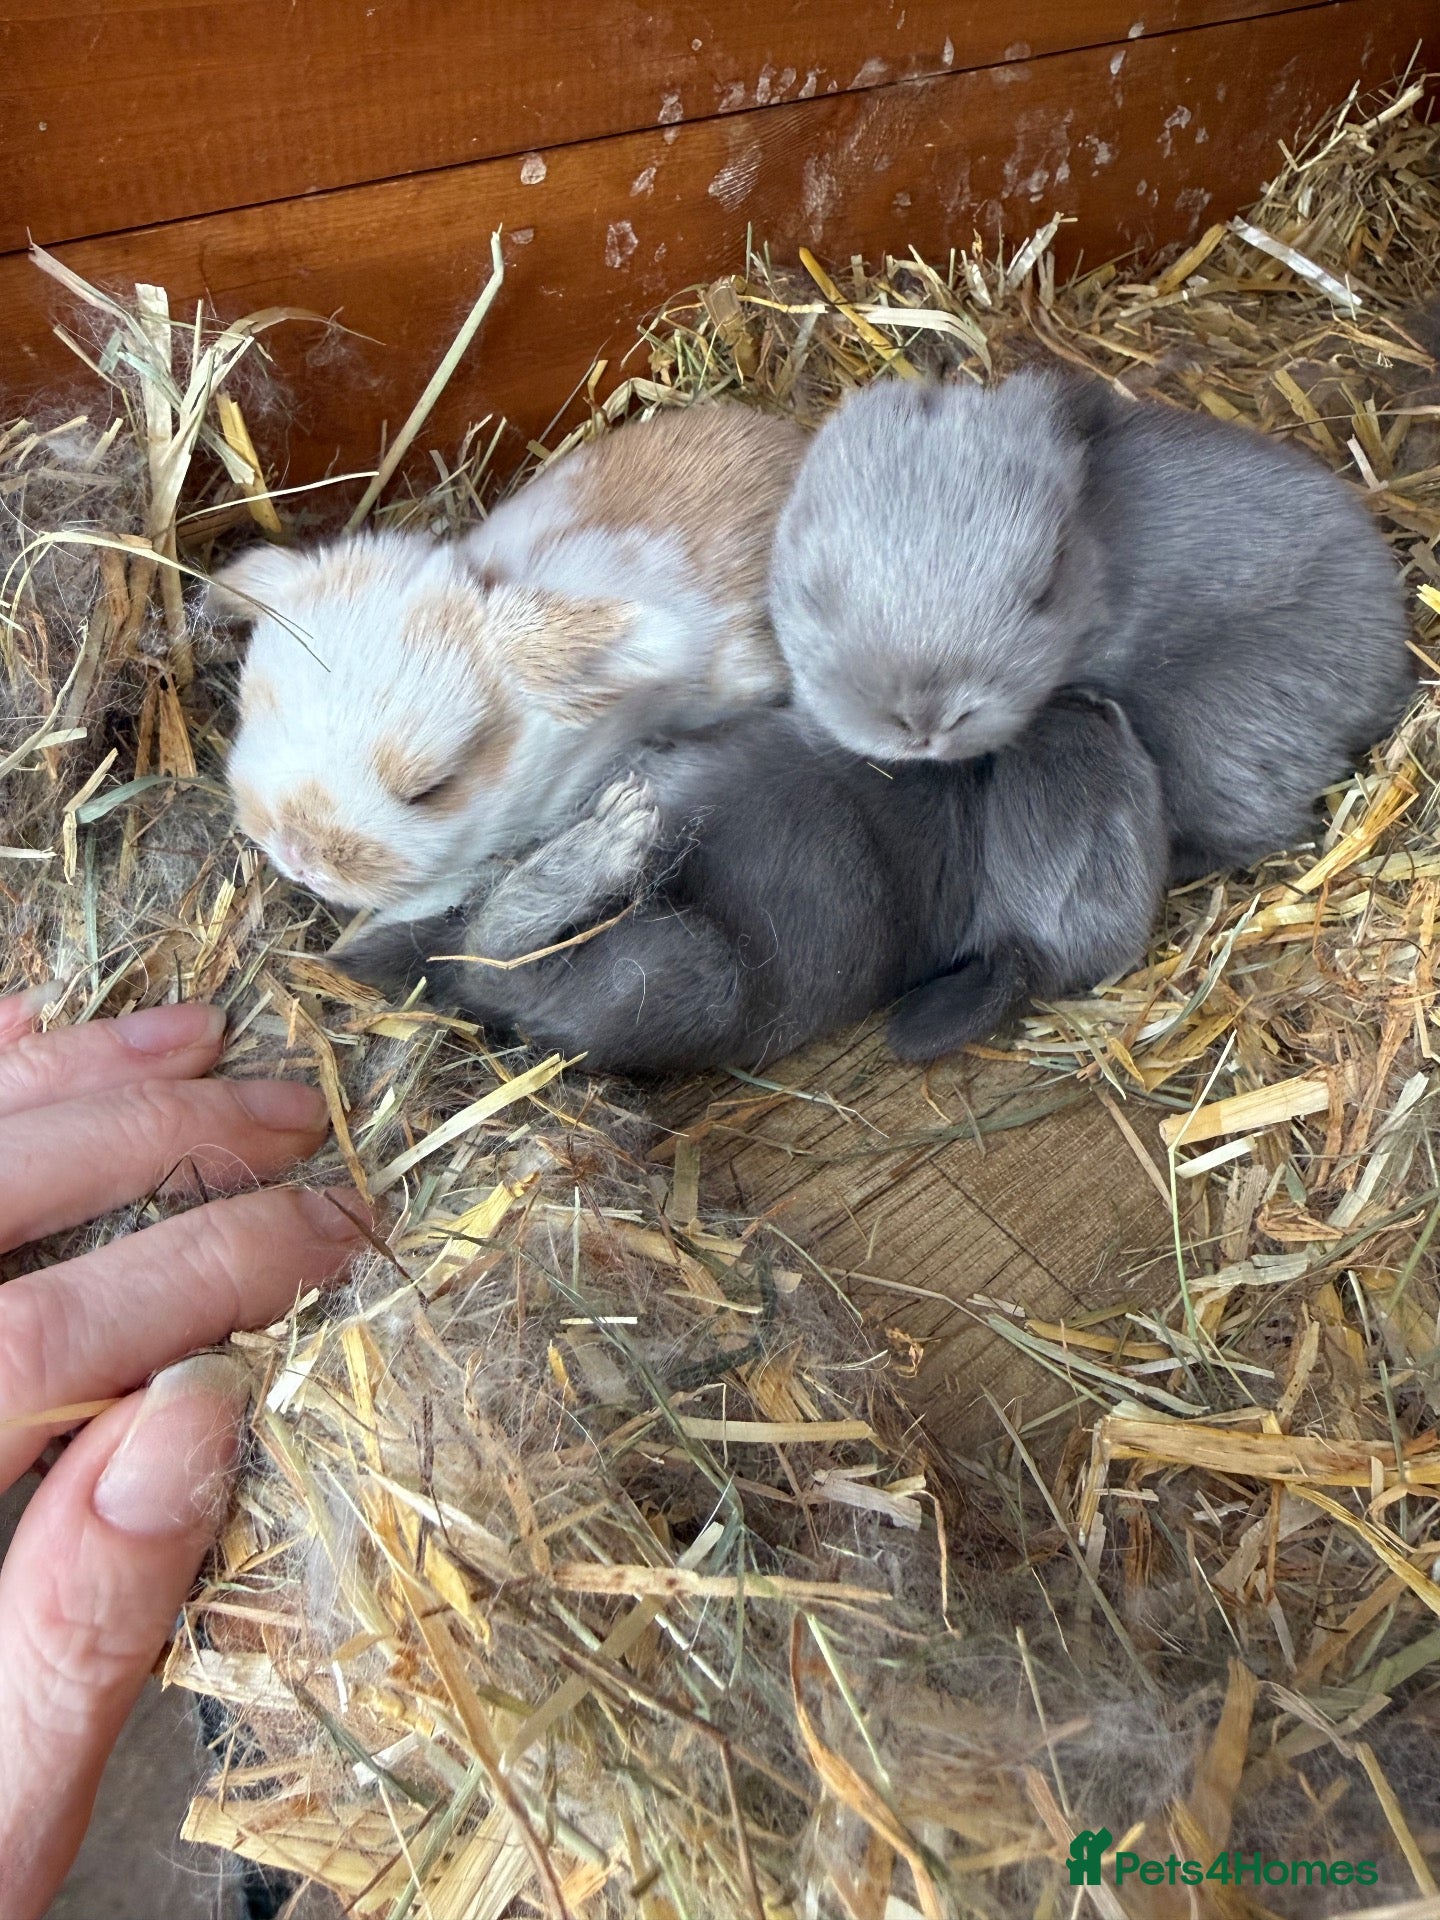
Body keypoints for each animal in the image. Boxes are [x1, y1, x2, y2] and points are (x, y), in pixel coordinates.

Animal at [335, 688, 1167, 1075]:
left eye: (1113, 836)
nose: (1096, 699)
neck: (982, 831)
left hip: (690, 970)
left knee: (493, 953)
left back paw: (609, 840)